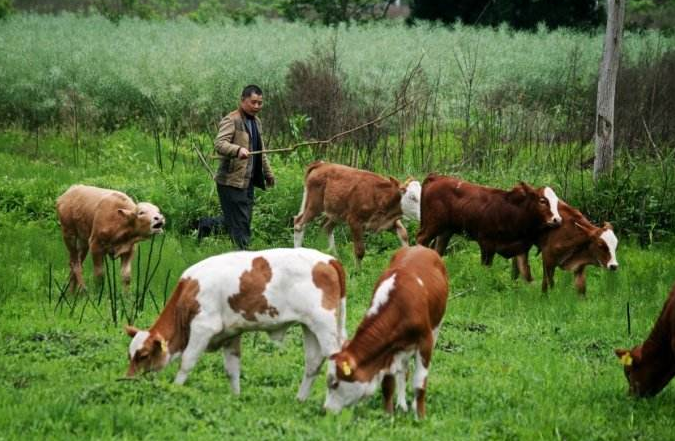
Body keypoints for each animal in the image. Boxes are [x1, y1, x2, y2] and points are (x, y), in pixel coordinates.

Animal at [125, 246, 348, 400]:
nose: (128, 380)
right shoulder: (230, 334)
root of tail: (328, 259)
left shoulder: (204, 327)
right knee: (313, 362)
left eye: (143, 355)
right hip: (310, 326)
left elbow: (187, 362)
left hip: (325, 325)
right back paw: (300, 400)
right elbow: (232, 369)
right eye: (130, 354)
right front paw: (236, 399)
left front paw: (175, 390)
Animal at [324, 246, 448, 418]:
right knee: (404, 371)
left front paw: (420, 417)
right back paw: (402, 404)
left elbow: (420, 383)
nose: (326, 410)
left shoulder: (425, 342)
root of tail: (420, 247)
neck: (400, 306)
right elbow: (388, 385)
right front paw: (388, 415)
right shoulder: (388, 350)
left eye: (335, 384)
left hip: (436, 327)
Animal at [418, 174, 564, 264]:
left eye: (556, 202)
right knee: (421, 239)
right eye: (542, 201)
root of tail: (437, 177)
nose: (557, 219)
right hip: (432, 224)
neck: (512, 210)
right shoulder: (486, 243)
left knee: (438, 249)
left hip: (446, 231)